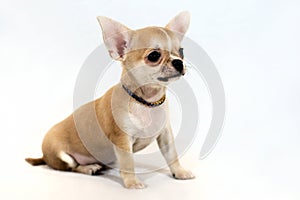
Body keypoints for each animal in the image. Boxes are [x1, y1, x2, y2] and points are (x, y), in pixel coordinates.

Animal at [25, 11, 195, 189]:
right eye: (154, 56)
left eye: (182, 51)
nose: (179, 62)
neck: (146, 102)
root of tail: (44, 156)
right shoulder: (122, 140)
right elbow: (128, 163)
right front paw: (132, 182)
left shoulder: (165, 135)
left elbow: (172, 155)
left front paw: (180, 172)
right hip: (62, 156)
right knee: (73, 167)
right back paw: (89, 168)